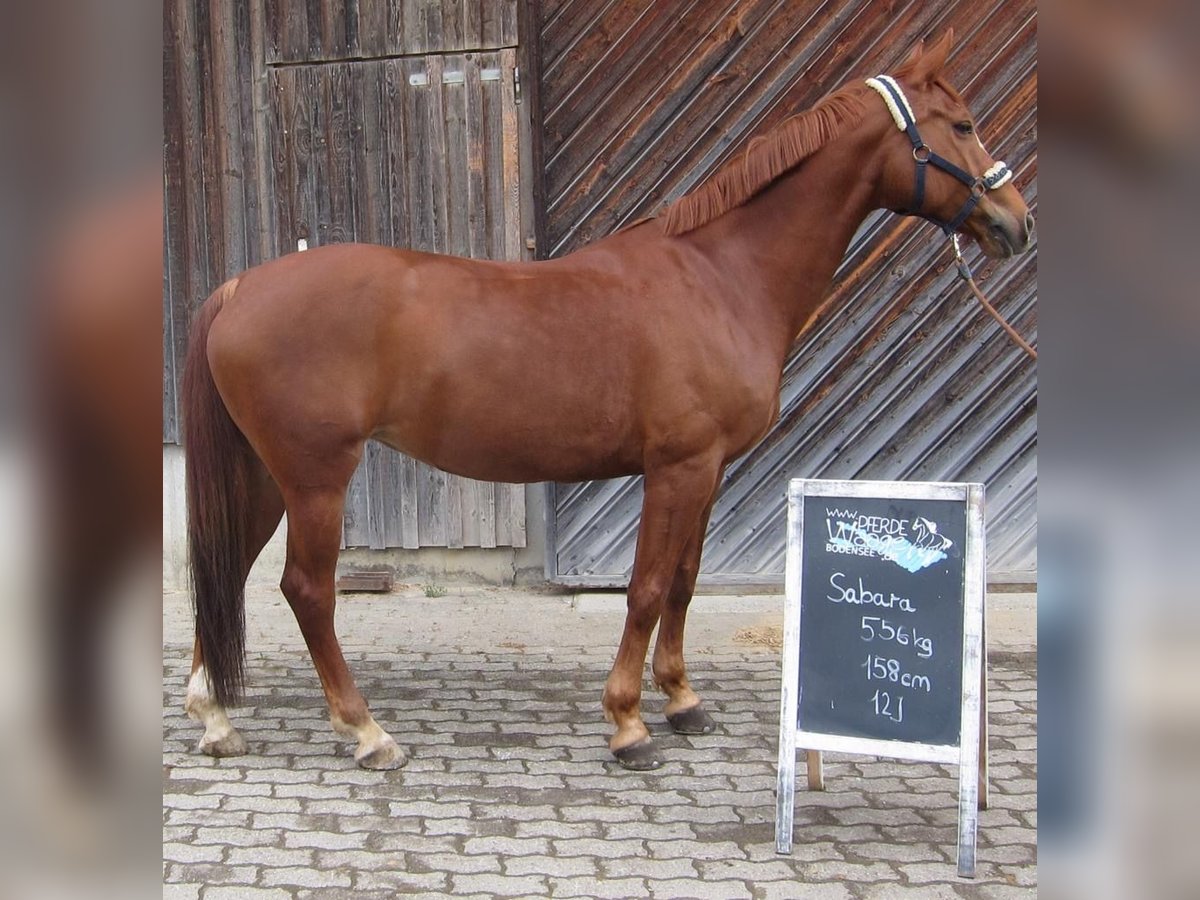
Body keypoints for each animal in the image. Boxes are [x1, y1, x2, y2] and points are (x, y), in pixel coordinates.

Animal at [184, 31, 1032, 772]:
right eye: (962, 124)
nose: (1015, 223)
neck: (718, 274)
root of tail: (238, 288)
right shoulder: (679, 466)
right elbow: (648, 589)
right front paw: (628, 725)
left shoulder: (709, 470)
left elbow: (684, 583)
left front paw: (683, 701)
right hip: (316, 479)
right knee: (306, 591)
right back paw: (365, 732)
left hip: (264, 478)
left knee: (223, 570)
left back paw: (215, 718)